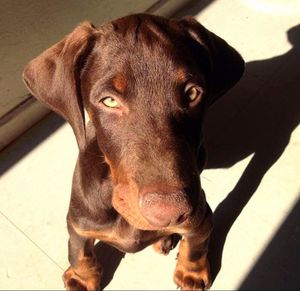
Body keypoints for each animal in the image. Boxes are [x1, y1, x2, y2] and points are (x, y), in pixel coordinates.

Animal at [22, 13, 244, 290]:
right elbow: (79, 250)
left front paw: (191, 272)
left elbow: (196, 244)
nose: (168, 213)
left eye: (193, 93)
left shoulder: (201, 216)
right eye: (109, 100)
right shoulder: (80, 223)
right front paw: (81, 277)